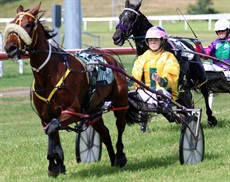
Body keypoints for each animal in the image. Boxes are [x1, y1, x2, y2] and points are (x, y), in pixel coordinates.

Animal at [3, 2, 128, 176]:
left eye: (28, 25)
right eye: (12, 23)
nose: (10, 48)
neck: (49, 75)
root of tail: (111, 58)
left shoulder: (73, 111)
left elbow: (52, 129)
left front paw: (54, 161)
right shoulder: (45, 116)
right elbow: (51, 130)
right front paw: (56, 164)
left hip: (120, 102)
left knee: (120, 126)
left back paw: (120, 156)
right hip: (93, 109)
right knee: (105, 133)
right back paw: (112, 159)